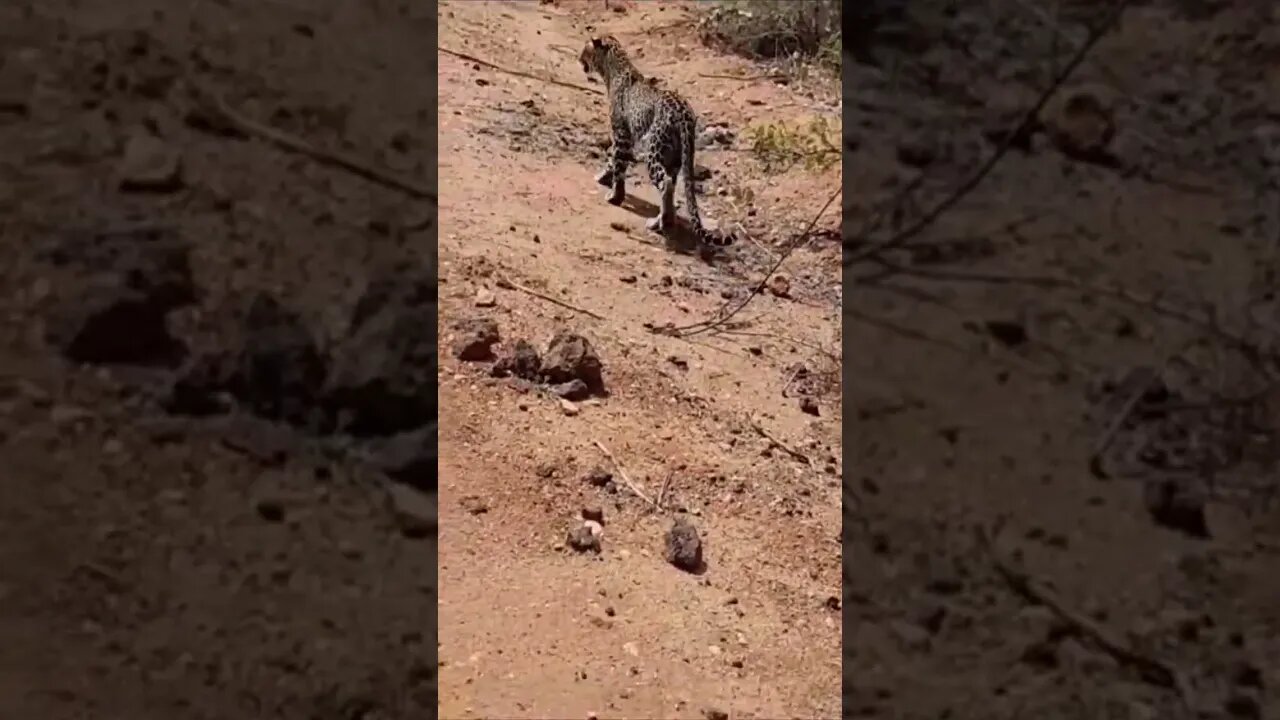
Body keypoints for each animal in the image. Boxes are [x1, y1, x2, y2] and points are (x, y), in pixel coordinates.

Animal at [578, 37, 737, 249]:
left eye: (585, 51)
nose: (579, 59)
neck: (613, 69)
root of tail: (684, 115)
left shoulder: (621, 134)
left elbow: (617, 162)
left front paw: (614, 195)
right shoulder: (627, 137)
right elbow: (615, 161)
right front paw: (606, 180)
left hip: (654, 150)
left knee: (666, 183)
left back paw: (660, 223)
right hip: (676, 156)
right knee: (671, 184)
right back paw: (663, 221)